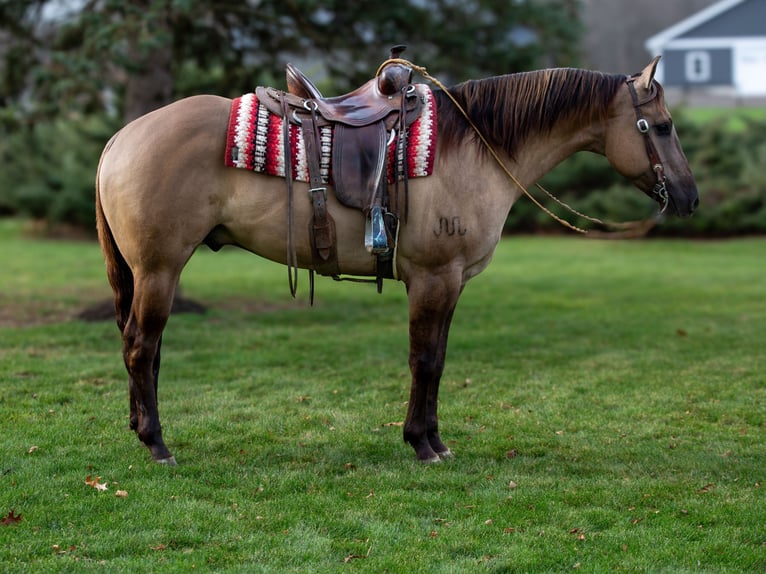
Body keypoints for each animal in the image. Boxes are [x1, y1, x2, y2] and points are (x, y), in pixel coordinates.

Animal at [95, 57, 698, 465]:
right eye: (663, 127)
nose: (690, 198)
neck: (474, 149)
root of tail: (121, 138)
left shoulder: (452, 283)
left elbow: (439, 359)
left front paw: (434, 439)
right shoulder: (434, 278)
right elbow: (424, 360)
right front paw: (421, 443)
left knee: (141, 348)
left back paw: (138, 427)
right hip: (159, 270)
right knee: (141, 347)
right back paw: (157, 444)